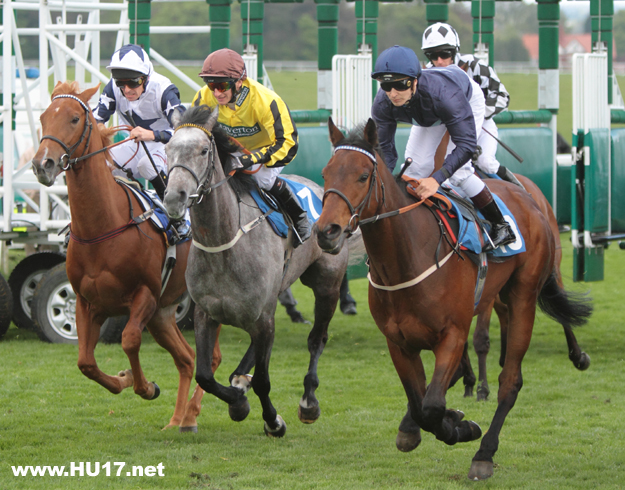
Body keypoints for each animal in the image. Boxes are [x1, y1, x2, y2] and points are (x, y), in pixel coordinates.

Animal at [31, 83, 219, 428]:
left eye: (75, 118)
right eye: (43, 117)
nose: (42, 164)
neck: (103, 227)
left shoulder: (145, 295)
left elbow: (129, 340)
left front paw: (145, 386)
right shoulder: (87, 302)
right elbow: (85, 362)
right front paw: (125, 378)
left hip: (204, 304)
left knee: (210, 357)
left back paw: (191, 413)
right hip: (163, 315)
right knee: (186, 359)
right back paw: (178, 418)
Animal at [163, 104, 364, 436]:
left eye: (204, 150)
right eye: (167, 149)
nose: (173, 198)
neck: (225, 245)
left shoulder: (263, 318)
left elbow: (263, 382)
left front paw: (273, 420)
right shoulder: (207, 313)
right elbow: (205, 375)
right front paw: (237, 402)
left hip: (327, 283)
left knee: (317, 339)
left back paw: (309, 402)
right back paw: (240, 381)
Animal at [314, 117, 592, 478]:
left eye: (363, 176)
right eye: (325, 174)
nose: (326, 232)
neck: (407, 258)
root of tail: (527, 197)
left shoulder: (453, 335)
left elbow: (432, 405)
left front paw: (462, 428)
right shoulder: (398, 342)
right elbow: (419, 402)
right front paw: (428, 424)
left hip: (526, 292)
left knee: (512, 379)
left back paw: (485, 452)